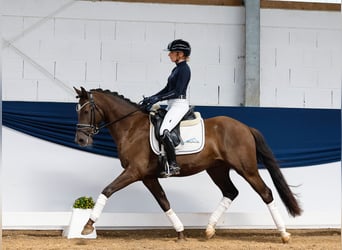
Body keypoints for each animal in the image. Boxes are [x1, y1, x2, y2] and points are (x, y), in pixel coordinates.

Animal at [73, 87, 300, 243]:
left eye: (86, 110)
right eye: (77, 110)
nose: (80, 140)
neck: (131, 128)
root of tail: (245, 127)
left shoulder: (134, 172)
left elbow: (107, 190)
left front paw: (87, 226)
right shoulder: (148, 176)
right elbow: (164, 201)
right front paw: (181, 232)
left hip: (247, 169)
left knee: (266, 193)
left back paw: (284, 234)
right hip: (217, 169)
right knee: (231, 192)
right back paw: (209, 229)